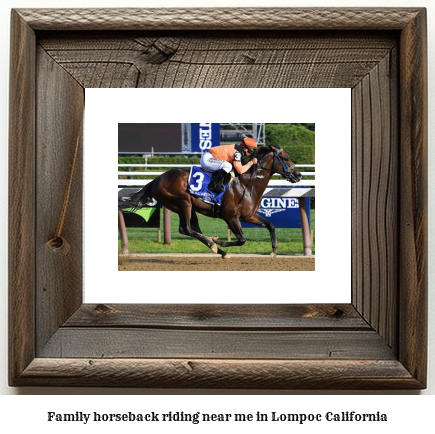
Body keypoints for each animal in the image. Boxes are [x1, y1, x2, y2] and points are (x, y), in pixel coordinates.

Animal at [119, 147, 304, 258]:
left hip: (187, 207)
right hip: (183, 202)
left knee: (193, 229)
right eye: (286, 158)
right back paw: (215, 245)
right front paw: (219, 241)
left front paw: (274, 250)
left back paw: (217, 248)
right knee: (186, 229)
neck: (246, 183)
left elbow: (270, 225)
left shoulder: (249, 216)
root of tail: (156, 179)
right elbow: (242, 239)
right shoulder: (231, 217)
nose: (299, 175)